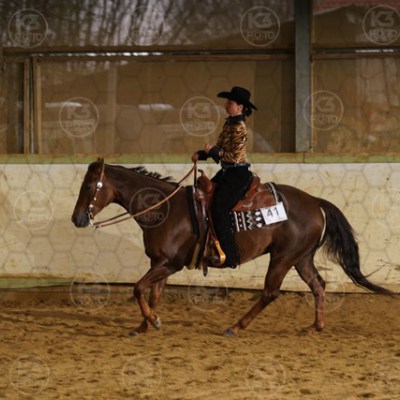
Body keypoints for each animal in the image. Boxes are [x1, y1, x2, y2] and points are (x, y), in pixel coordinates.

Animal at [71, 158, 392, 336]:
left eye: (88, 187)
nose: (77, 218)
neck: (164, 209)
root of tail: (315, 201)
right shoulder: (160, 263)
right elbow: (152, 293)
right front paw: (144, 326)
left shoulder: (169, 263)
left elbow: (138, 288)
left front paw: (153, 321)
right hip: (302, 258)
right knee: (318, 286)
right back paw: (315, 327)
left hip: (282, 257)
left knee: (270, 292)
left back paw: (236, 326)